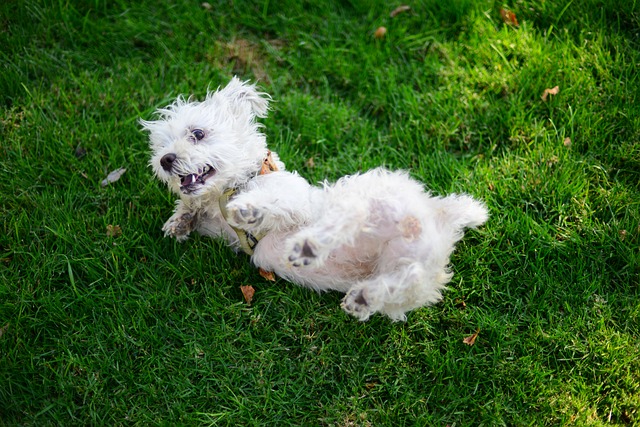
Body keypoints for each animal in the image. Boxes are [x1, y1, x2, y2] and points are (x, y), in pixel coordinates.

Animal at [141, 77, 490, 320]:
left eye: (197, 134)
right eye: (160, 146)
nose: (165, 161)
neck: (235, 186)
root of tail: (438, 215)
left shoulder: (295, 200)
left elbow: (272, 200)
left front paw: (247, 209)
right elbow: (193, 207)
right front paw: (180, 221)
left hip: (369, 196)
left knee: (349, 217)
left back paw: (310, 246)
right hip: (408, 271)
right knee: (405, 280)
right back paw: (362, 298)